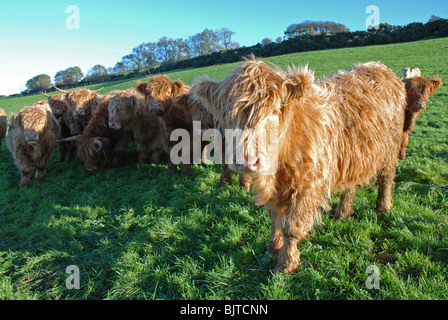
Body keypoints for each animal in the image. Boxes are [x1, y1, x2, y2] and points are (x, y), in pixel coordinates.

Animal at [192, 57, 406, 272]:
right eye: (228, 116)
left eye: (274, 111)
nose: (246, 160)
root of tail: (378, 66)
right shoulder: (278, 189)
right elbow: (275, 218)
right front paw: (273, 247)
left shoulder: (307, 186)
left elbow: (291, 226)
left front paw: (286, 263)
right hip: (352, 158)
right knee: (350, 186)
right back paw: (342, 213)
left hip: (391, 149)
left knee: (387, 179)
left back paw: (383, 207)